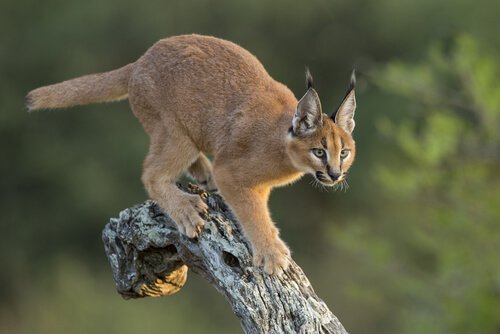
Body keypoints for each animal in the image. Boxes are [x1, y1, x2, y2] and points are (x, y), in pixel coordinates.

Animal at [27, 34, 356, 274]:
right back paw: (186, 208)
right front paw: (271, 254)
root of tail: (139, 61)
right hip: (175, 132)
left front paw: (273, 240)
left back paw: (202, 173)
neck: (282, 144)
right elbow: (251, 212)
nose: (335, 174)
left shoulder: (257, 186)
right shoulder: (231, 172)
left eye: (344, 153)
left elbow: (259, 209)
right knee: (151, 172)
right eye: (319, 151)